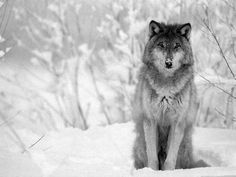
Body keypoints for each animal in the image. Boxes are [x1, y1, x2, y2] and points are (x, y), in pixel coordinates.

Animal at [133, 20, 208, 170]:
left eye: (176, 46)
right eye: (161, 45)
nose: (168, 62)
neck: (166, 87)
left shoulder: (177, 122)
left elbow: (170, 159)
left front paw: (169, 172)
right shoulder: (150, 120)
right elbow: (152, 158)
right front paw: (151, 171)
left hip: (184, 145)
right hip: (141, 142)